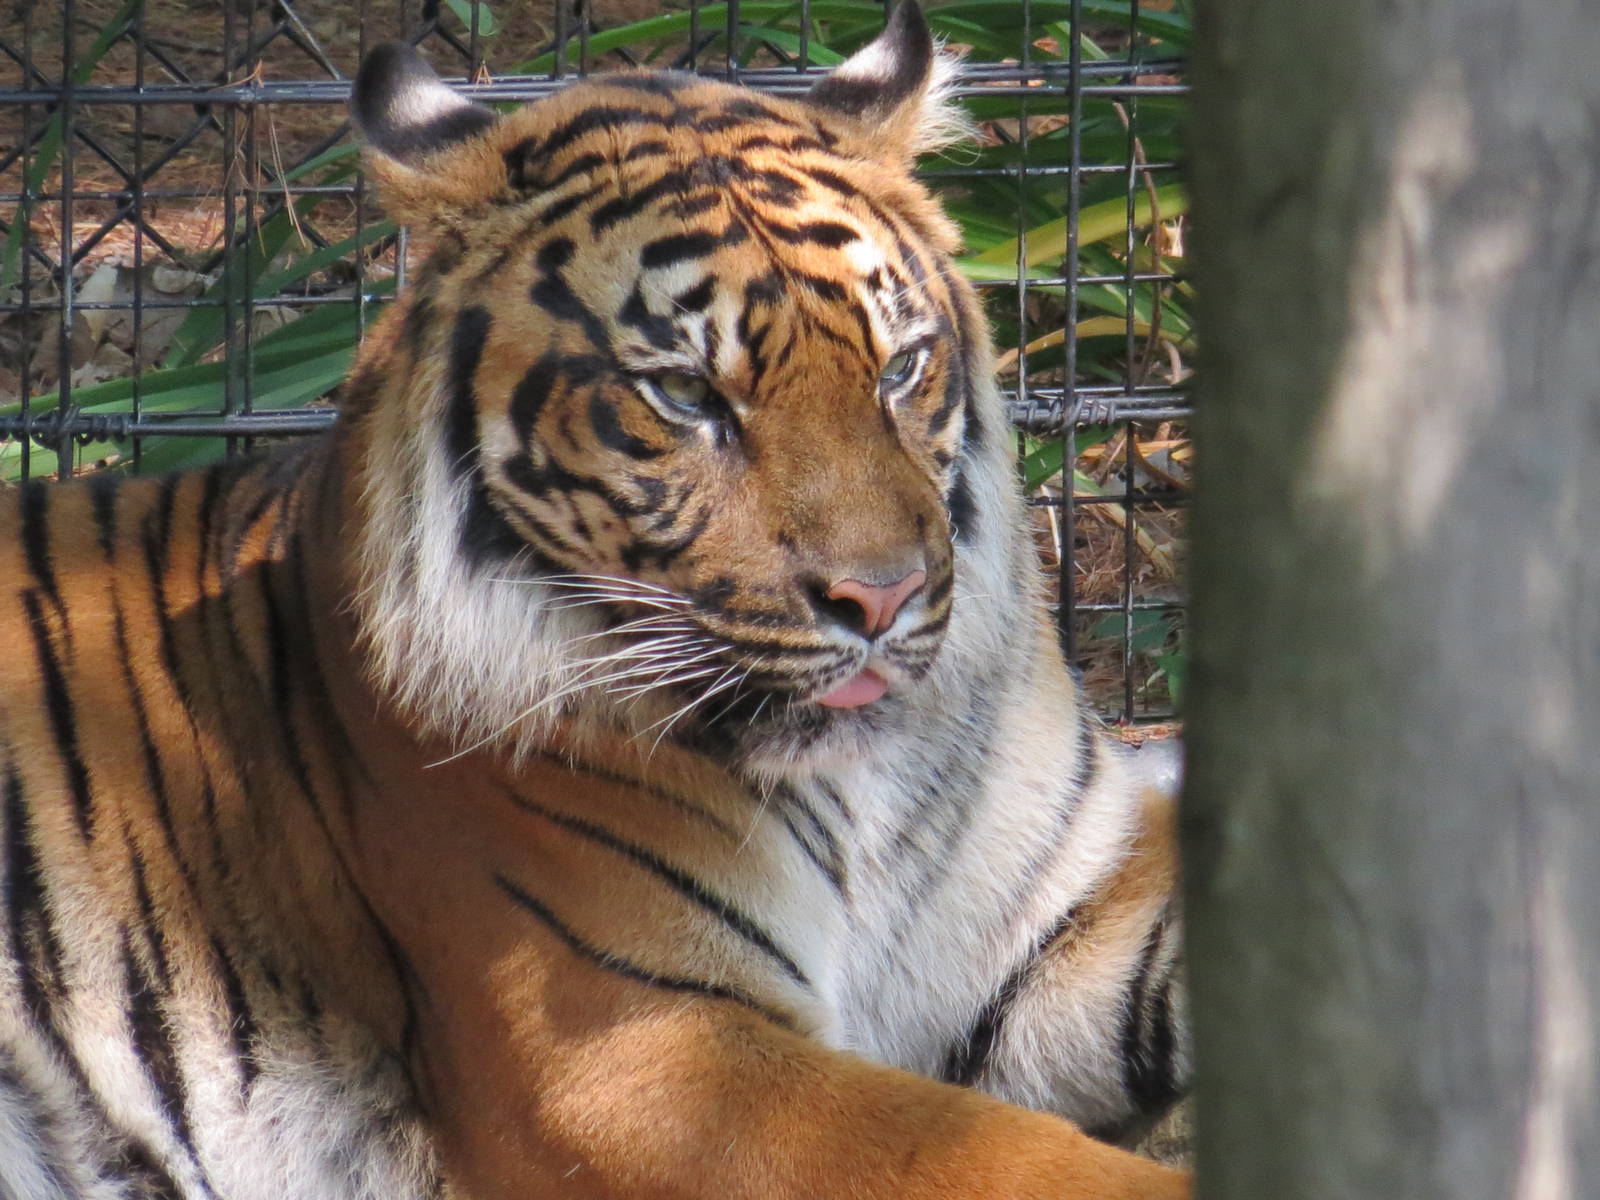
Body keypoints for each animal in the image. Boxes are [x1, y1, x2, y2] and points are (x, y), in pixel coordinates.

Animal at [0, 4, 1190, 1197]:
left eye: (899, 369)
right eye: (686, 394)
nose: (882, 596)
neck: (868, 789)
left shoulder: (1079, 909)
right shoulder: (639, 1060)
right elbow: (999, 1157)